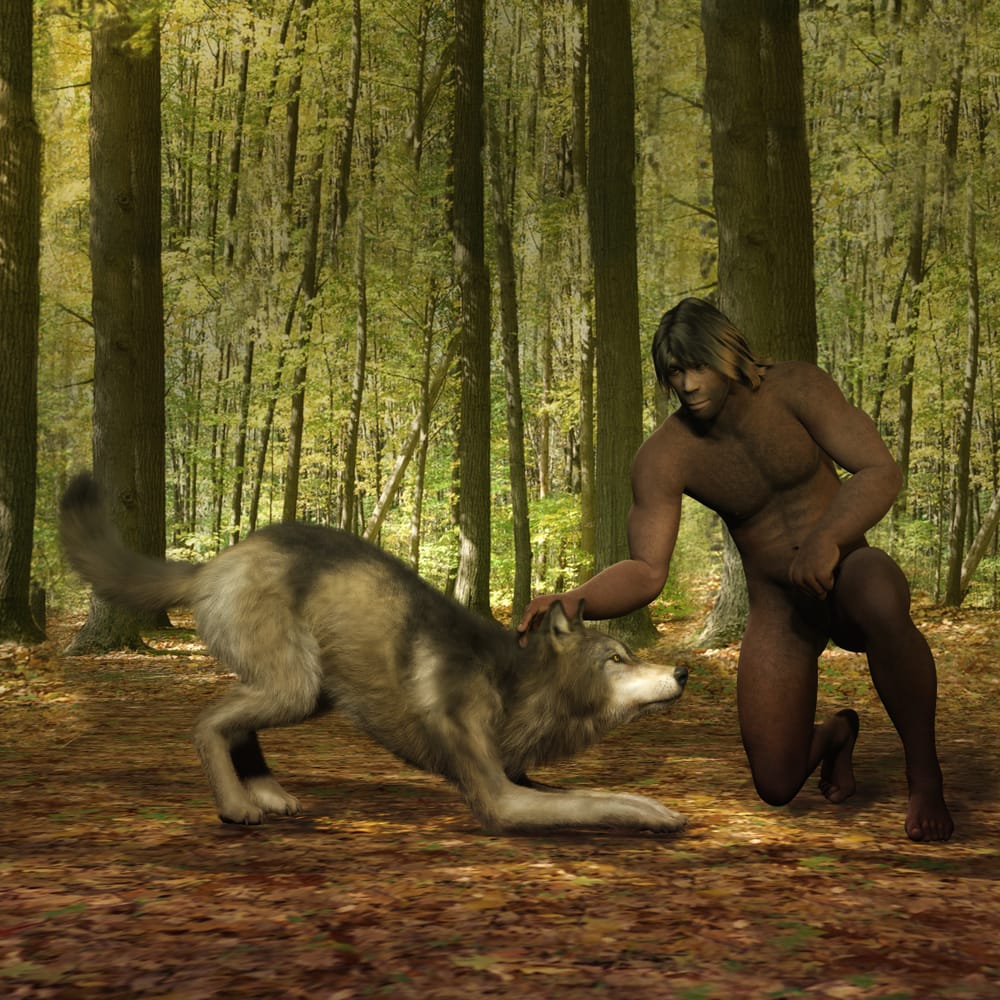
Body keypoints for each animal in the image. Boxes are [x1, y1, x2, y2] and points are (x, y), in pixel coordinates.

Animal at [60, 472, 688, 835]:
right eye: (617, 659)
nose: (682, 669)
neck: (515, 683)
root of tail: (218, 560)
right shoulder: (499, 797)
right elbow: (595, 800)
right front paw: (653, 813)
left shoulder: (518, 776)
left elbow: (594, 792)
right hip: (296, 689)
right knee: (208, 723)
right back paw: (237, 806)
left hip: (312, 692)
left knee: (238, 723)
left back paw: (267, 792)